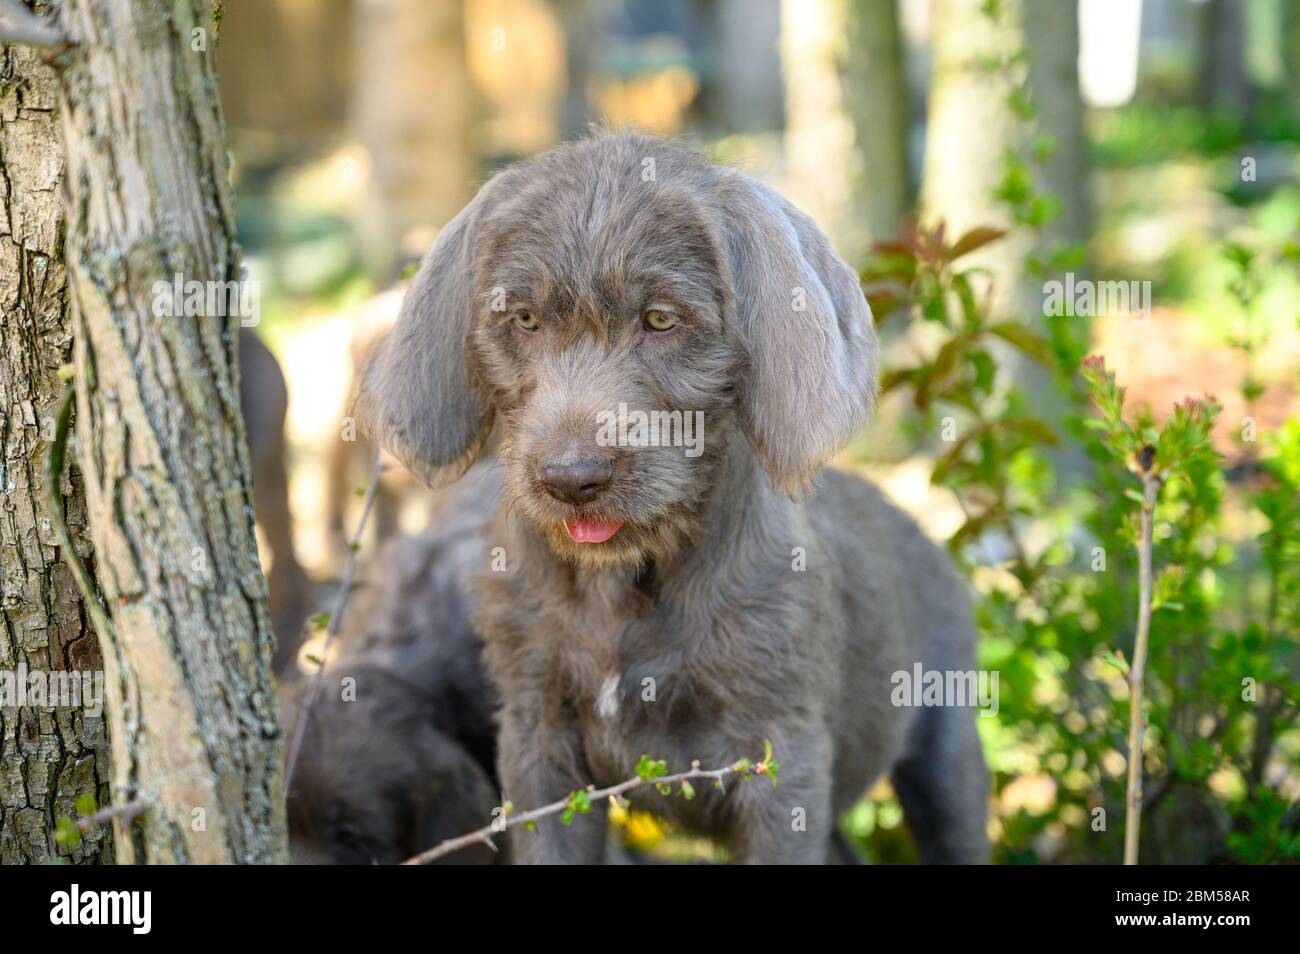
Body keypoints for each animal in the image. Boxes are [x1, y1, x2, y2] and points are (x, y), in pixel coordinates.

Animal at [356, 130, 982, 863]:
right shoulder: (537, 745)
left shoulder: (783, 763)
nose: (571, 479)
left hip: (948, 751)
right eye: (525, 319)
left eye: (660, 319)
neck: (625, 583)